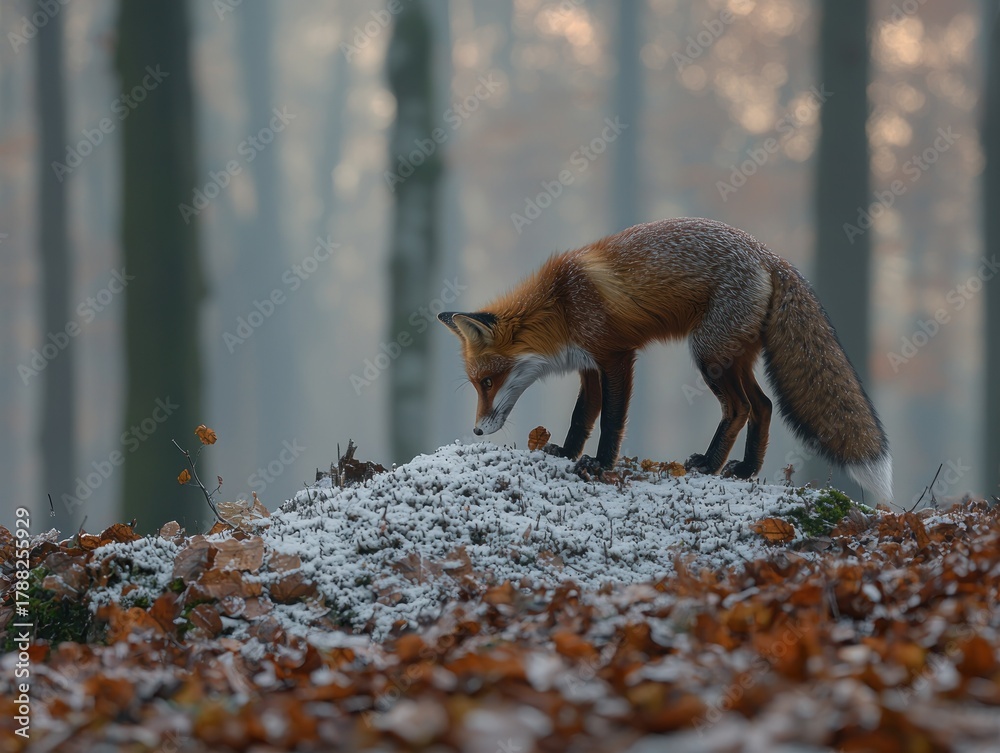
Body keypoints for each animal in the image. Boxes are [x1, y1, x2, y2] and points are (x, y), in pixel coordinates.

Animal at [439, 218, 892, 502]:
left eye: (487, 382)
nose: (476, 431)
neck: (562, 305)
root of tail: (769, 254)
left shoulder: (616, 356)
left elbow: (610, 421)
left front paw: (599, 465)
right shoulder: (588, 365)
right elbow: (581, 417)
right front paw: (567, 453)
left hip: (708, 355)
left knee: (740, 407)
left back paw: (708, 464)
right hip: (733, 356)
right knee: (763, 405)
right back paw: (745, 469)